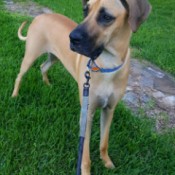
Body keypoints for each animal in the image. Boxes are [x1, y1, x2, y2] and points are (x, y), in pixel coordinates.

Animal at [11, 0, 151, 174]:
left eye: (106, 17)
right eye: (85, 10)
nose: (72, 38)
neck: (108, 64)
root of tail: (40, 16)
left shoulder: (109, 109)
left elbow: (104, 142)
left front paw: (106, 162)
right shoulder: (87, 113)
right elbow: (84, 154)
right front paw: (85, 171)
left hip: (54, 57)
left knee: (43, 67)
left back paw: (47, 84)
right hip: (30, 55)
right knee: (20, 76)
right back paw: (15, 95)